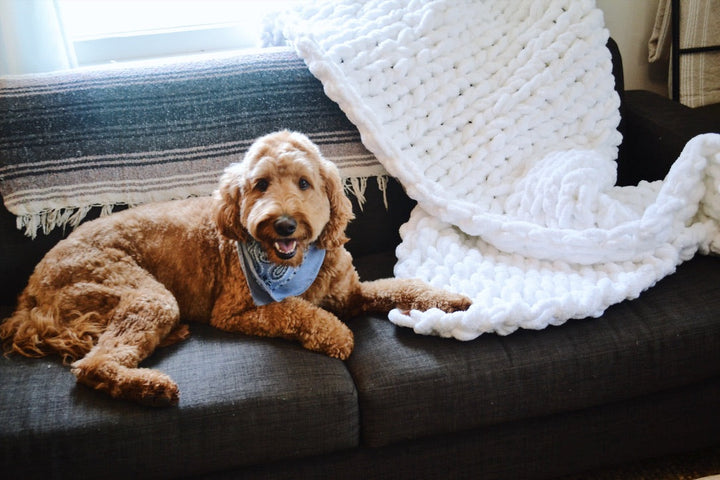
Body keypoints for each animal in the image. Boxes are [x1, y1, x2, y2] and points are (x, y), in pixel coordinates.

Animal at [0, 130, 472, 404]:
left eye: (304, 182)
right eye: (260, 184)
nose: (283, 222)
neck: (293, 263)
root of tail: (31, 291)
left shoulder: (350, 293)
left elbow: (403, 285)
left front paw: (450, 299)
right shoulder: (235, 312)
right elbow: (297, 310)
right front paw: (336, 335)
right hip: (140, 293)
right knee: (93, 365)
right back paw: (151, 386)